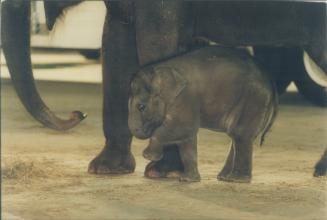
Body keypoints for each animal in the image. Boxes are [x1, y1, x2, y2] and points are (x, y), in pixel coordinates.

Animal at [129, 46, 280, 182]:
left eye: (141, 107)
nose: (141, 131)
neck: (159, 69)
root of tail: (270, 81)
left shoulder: (185, 98)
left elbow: (184, 128)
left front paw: (147, 156)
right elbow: (187, 138)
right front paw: (188, 180)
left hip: (253, 100)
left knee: (240, 134)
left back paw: (236, 179)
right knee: (236, 136)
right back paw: (224, 178)